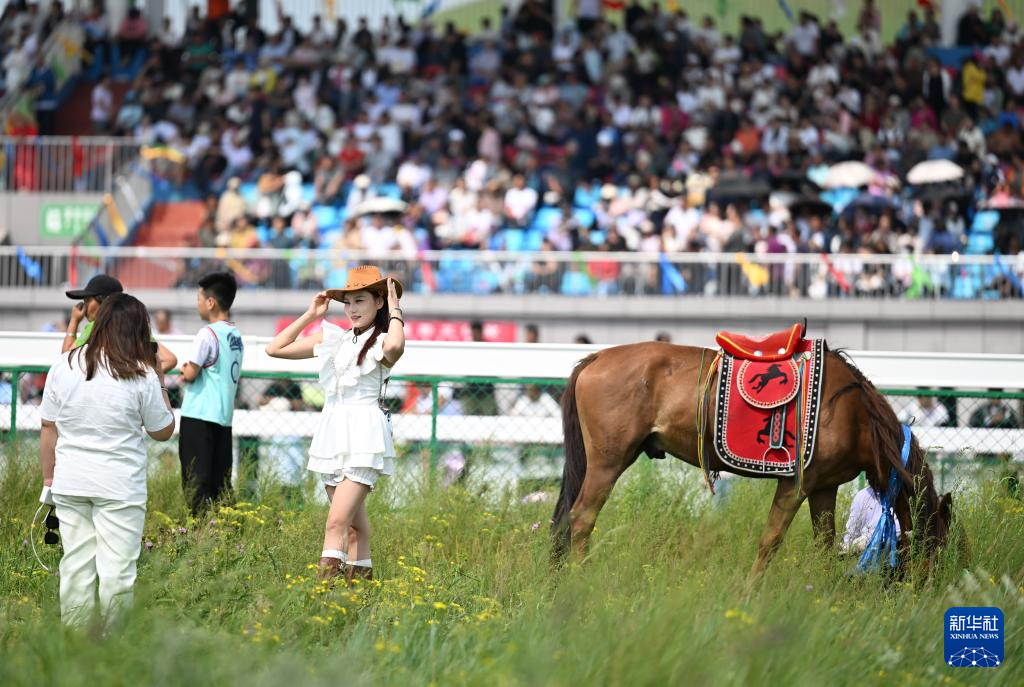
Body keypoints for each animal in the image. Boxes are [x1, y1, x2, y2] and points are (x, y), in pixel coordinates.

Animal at [548, 341, 954, 577]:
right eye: (937, 546)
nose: (929, 587)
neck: (853, 412)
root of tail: (597, 357)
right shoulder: (796, 484)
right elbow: (770, 541)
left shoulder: (824, 488)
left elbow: (825, 544)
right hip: (608, 462)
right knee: (580, 519)